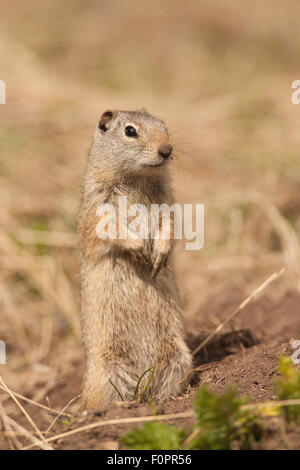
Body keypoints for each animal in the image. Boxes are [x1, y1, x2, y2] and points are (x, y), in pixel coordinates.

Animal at [78, 109, 192, 408]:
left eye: (165, 127)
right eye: (130, 131)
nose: (167, 150)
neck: (137, 178)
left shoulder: (167, 201)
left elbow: (169, 225)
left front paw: (158, 255)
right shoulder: (98, 203)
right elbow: (108, 230)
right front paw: (140, 249)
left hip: (179, 360)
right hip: (108, 373)